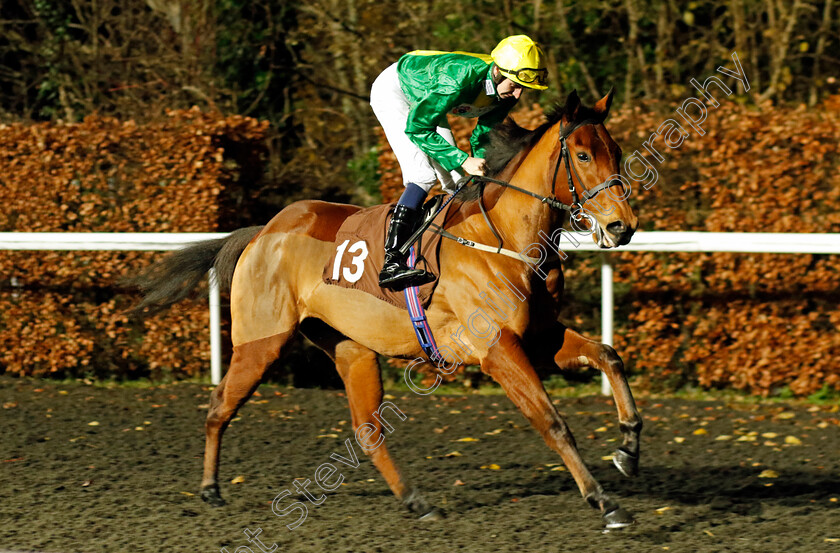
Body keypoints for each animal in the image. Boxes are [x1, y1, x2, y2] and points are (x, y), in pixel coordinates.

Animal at [130, 88, 644, 528]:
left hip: (350, 347)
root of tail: (264, 231)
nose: (622, 226)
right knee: (221, 404)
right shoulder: (498, 348)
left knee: (366, 430)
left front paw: (628, 447)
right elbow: (553, 422)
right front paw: (604, 502)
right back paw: (210, 488)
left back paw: (417, 502)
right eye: (583, 155)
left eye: (616, 150)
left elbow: (608, 355)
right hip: (261, 342)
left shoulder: (539, 336)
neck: (503, 235)